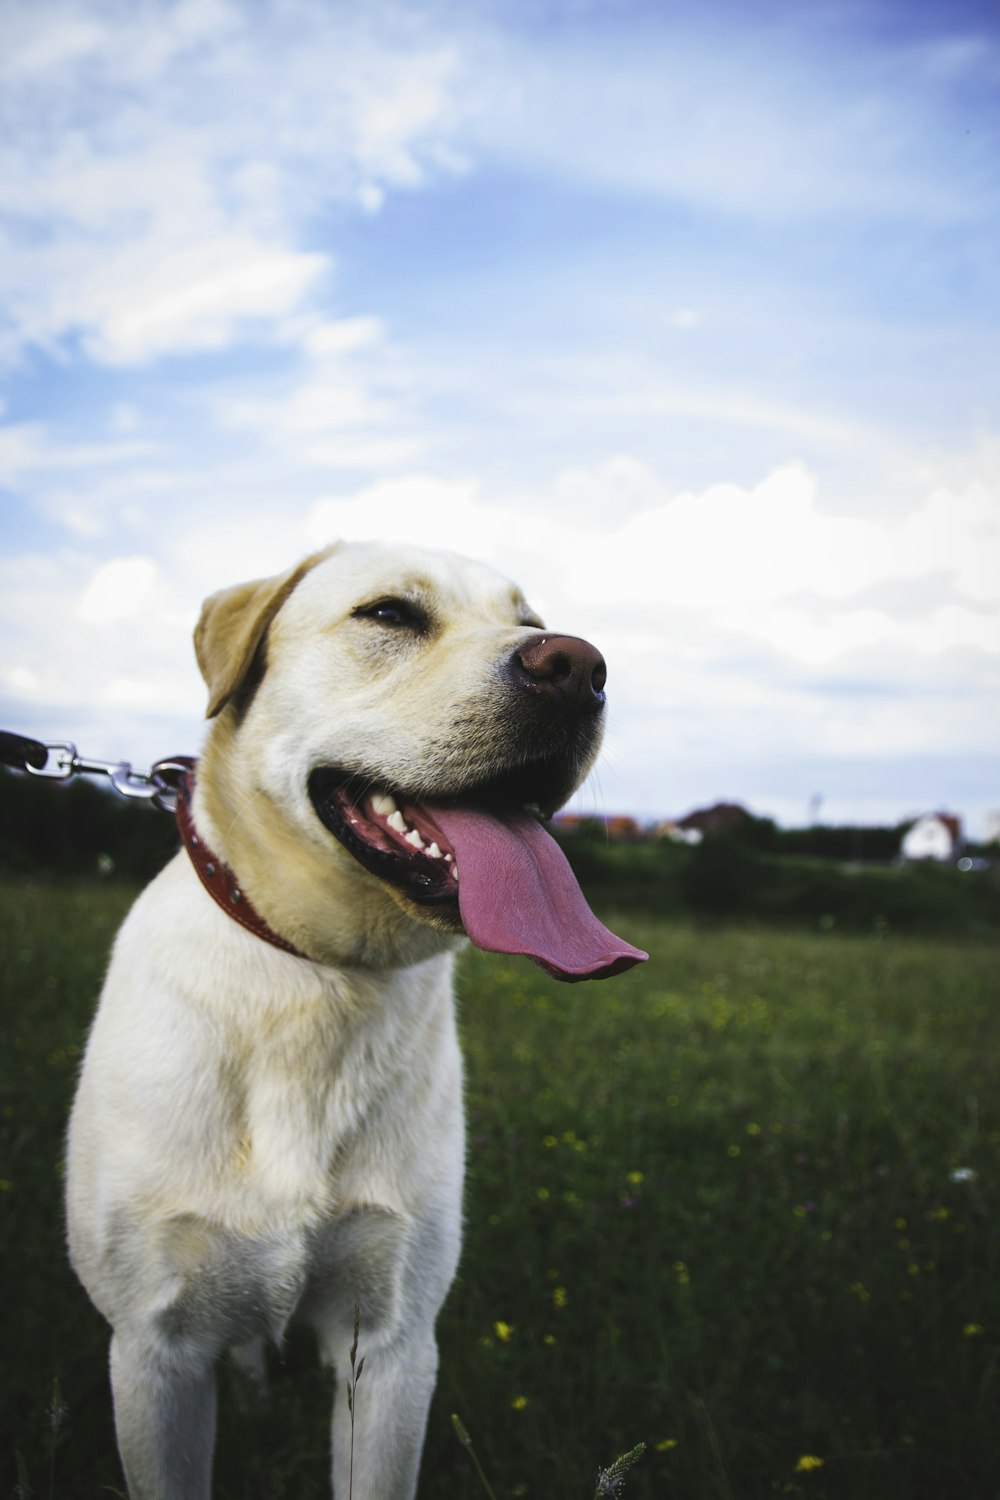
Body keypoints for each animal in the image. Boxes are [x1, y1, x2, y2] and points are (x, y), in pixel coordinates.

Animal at [66, 543, 644, 1500]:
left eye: (531, 624)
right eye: (389, 616)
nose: (578, 667)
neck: (321, 979)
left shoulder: (393, 1340)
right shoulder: (153, 1349)